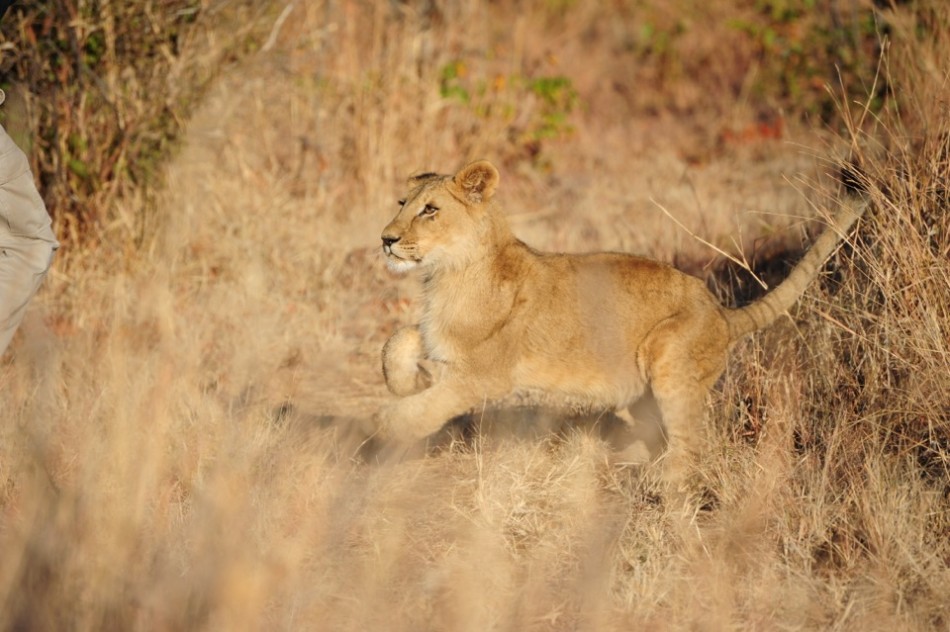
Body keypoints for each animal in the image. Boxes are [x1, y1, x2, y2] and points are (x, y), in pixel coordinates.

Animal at [375, 160, 866, 489]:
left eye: (430, 210)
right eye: (401, 204)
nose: (386, 239)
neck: (446, 273)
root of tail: (723, 314)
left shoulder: (484, 375)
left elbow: (424, 408)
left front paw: (386, 431)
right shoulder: (443, 345)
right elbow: (397, 340)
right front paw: (403, 382)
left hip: (668, 357)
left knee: (688, 447)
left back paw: (666, 495)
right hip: (641, 392)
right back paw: (623, 464)